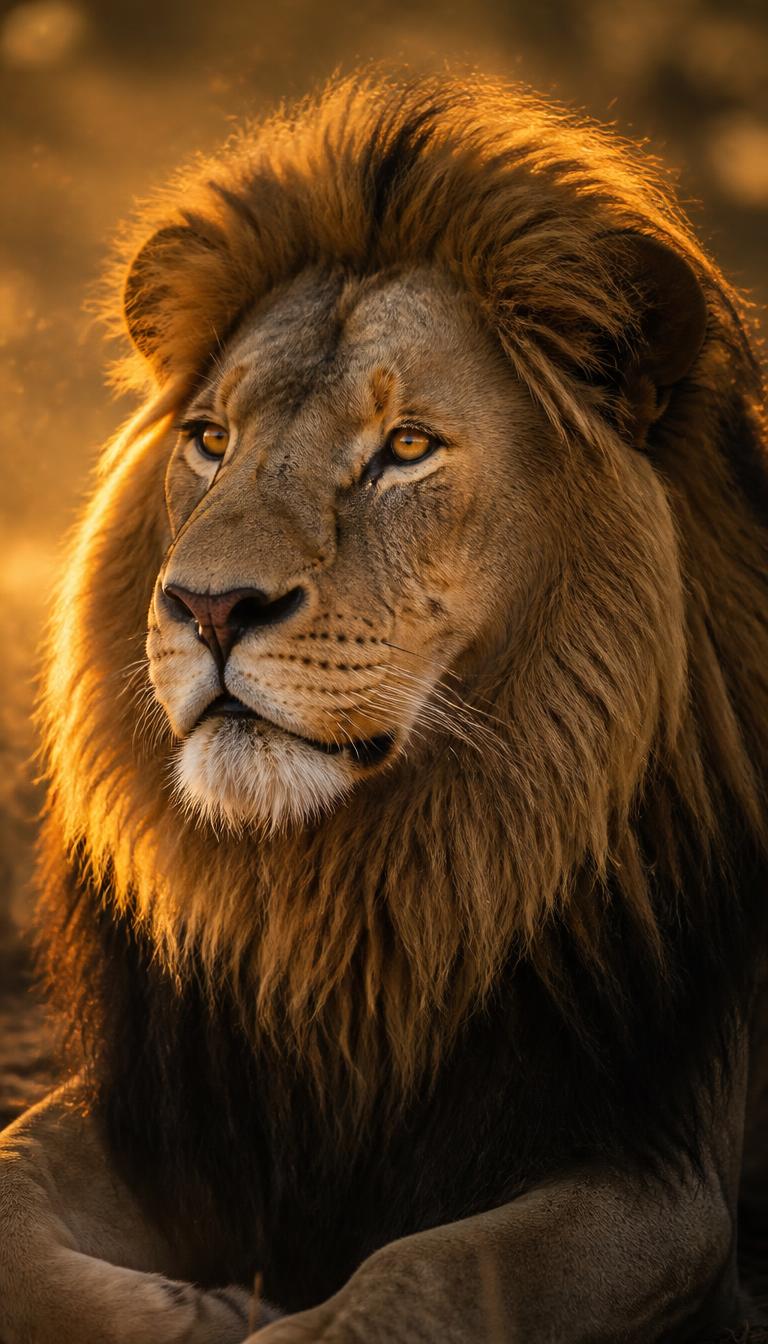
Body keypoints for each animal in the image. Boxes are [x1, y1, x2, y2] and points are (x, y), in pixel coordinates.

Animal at [1, 71, 767, 1343]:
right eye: (210, 440)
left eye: (406, 447)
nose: (208, 607)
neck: (357, 903)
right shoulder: (165, 1111)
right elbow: (11, 1201)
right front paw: (202, 1310)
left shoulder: (659, 1172)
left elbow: (432, 1276)